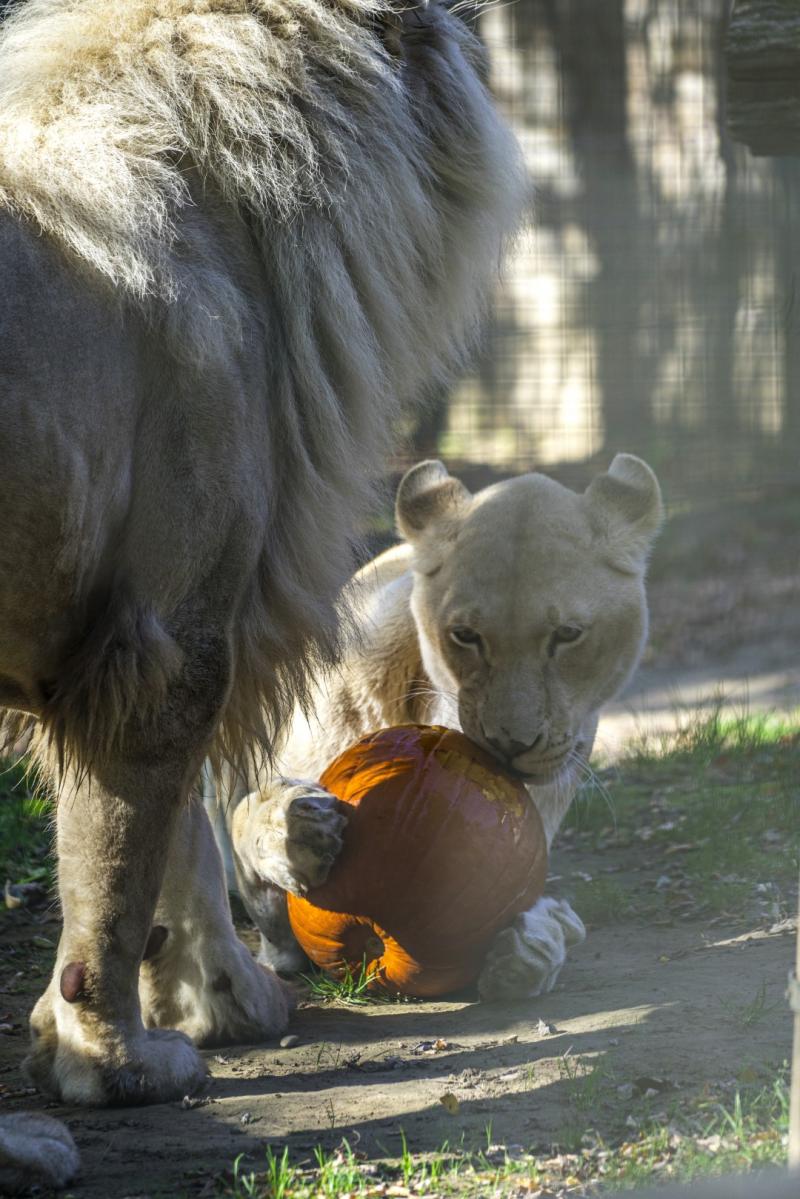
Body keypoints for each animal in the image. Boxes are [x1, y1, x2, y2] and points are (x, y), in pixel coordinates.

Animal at [0, 0, 525, 1103]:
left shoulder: (146, 635)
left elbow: (175, 843)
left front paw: (218, 1005)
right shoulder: (167, 635)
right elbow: (117, 871)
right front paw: (111, 1058)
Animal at [211, 453, 662, 997]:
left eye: (568, 634)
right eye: (464, 635)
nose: (510, 743)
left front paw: (531, 950)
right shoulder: (278, 936)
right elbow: (248, 823)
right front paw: (294, 831)